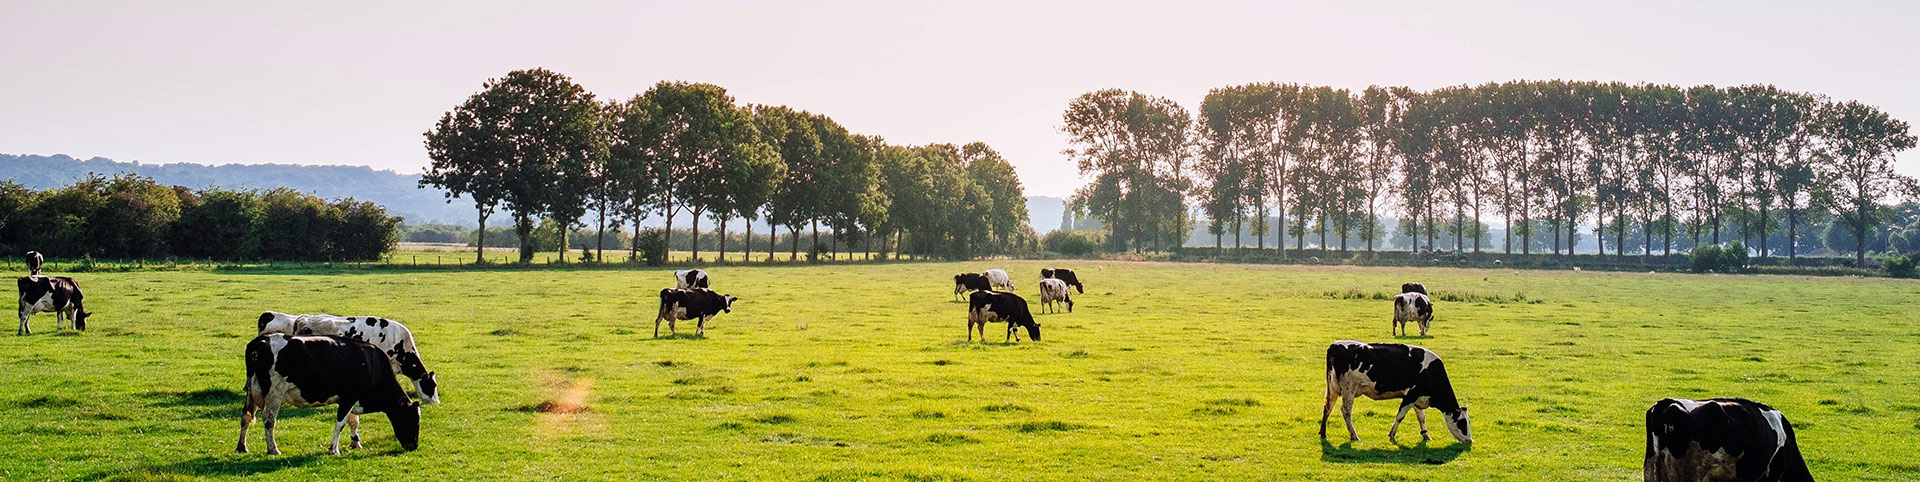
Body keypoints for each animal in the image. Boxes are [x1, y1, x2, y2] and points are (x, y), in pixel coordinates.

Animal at [238, 336, 422, 455]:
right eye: (412, 419)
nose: (414, 445)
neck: (371, 364)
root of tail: (258, 342)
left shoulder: (350, 400)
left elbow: (353, 421)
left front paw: (356, 443)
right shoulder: (349, 397)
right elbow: (340, 423)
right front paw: (334, 449)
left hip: (251, 391)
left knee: (246, 416)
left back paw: (242, 447)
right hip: (274, 392)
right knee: (269, 420)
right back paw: (273, 449)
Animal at [1320, 337, 1466, 443]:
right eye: (1463, 423)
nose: (1469, 440)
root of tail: (1335, 345)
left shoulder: (1418, 397)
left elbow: (1421, 417)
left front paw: (1426, 436)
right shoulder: (1410, 395)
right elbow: (1400, 416)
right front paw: (1392, 435)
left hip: (1333, 388)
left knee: (1328, 407)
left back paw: (1323, 433)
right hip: (1349, 389)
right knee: (1346, 411)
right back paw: (1354, 436)